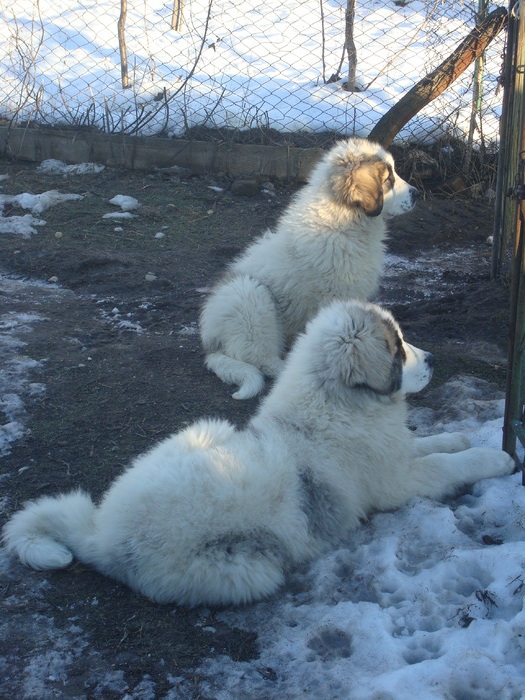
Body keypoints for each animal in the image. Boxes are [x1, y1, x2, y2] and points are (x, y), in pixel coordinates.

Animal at [3, 300, 512, 608]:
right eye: (398, 350)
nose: (433, 361)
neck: (338, 404)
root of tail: (102, 536)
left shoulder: (397, 452)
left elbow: (427, 445)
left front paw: (459, 437)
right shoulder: (395, 482)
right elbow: (444, 465)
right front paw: (496, 459)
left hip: (207, 430)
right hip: (250, 567)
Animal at [199, 137, 420, 400]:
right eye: (389, 179)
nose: (417, 194)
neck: (347, 220)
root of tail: (211, 345)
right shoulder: (332, 296)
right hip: (248, 295)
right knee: (261, 358)